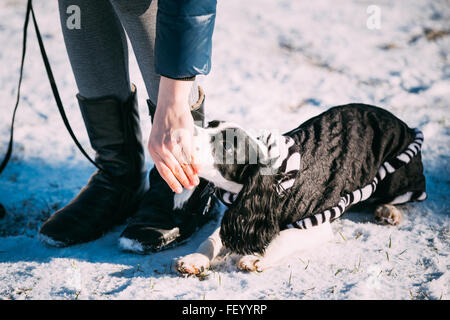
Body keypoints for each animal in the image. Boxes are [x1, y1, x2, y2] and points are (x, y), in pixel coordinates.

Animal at [172, 104, 426, 274]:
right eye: (209, 125)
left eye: (226, 146)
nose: (182, 129)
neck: (279, 179)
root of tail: (405, 124)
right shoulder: (240, 214)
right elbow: (214, 237)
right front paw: (195, 258)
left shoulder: (318, 221)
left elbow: (285, 236)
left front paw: (254, 257)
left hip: (396, 177)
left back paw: (389, 210)